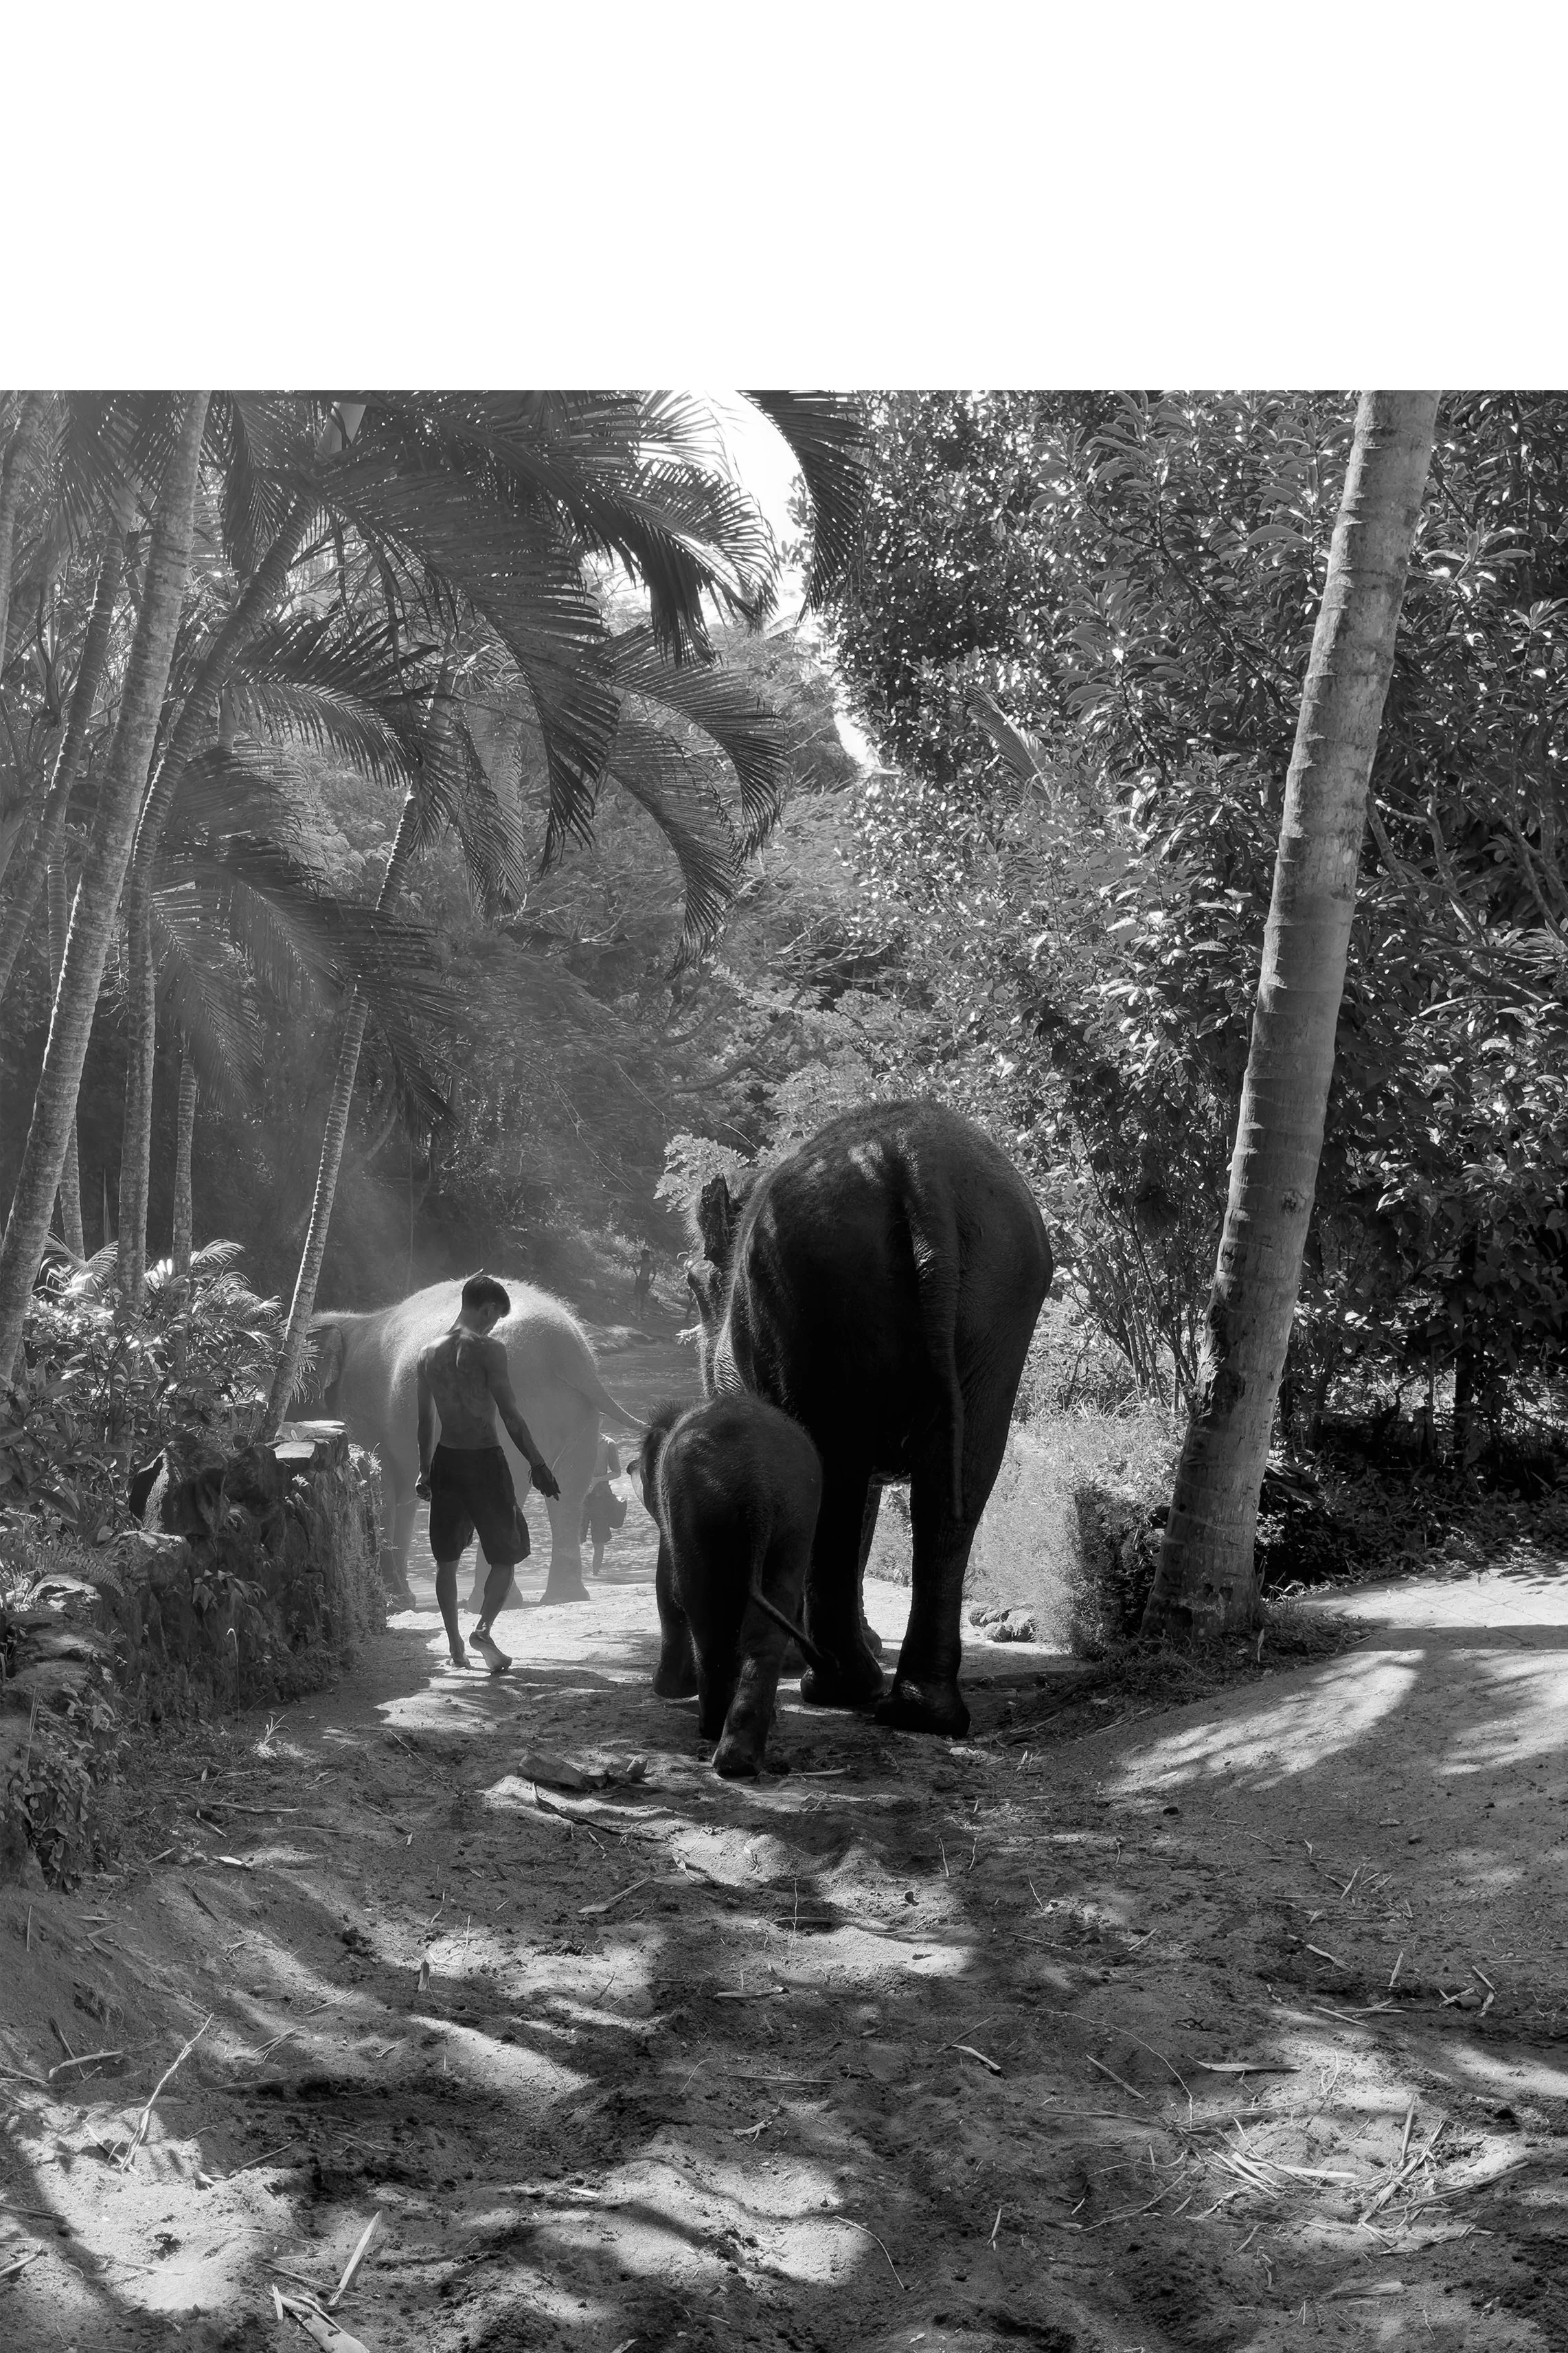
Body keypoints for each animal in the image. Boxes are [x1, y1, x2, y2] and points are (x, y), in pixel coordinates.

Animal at [305, 1279, 638, 1608]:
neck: (349, 1323)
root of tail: (567, 1348)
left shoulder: (362, 1414)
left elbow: (381, 1482)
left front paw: (396, 1602)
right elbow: (404, 1499)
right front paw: (406, 1599)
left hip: (517, 1401)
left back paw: (487, 1602)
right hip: (580, 1414)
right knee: (571, 1488)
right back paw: (564, 1596)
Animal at [638, 1394, 824, 1777]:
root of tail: (759, 1488)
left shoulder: (670, 1517)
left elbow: (669, 1591)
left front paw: (669, 1691)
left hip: (703, 1515)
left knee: (708, 1624)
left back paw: (711, 1731)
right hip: (796, 1518)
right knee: (765, 1629)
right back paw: (740, 1758)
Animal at [686, 1100, 1053, 1739]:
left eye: (692, 1282)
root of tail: (918, 1164)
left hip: (820, 1295)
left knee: (835, 1473)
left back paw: (838, 1685)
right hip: (999, 1292)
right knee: (957, 1482)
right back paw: (920, 1710)